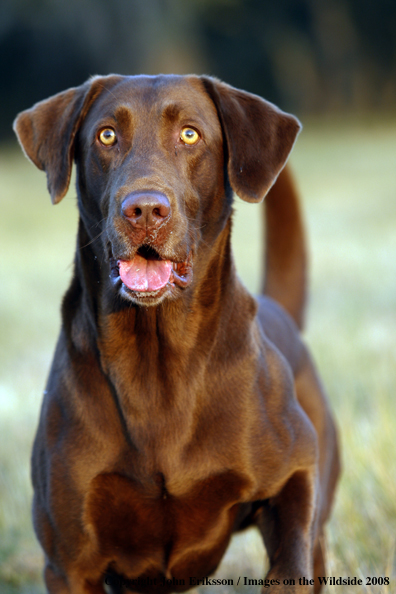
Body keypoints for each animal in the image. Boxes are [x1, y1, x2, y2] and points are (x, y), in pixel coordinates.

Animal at [13, 75, 338, 592]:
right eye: (106, 135)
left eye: (190, 134)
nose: (145, 209)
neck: (157, 363)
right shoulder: (68, 561)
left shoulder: (297, 470)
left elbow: (290, 560)